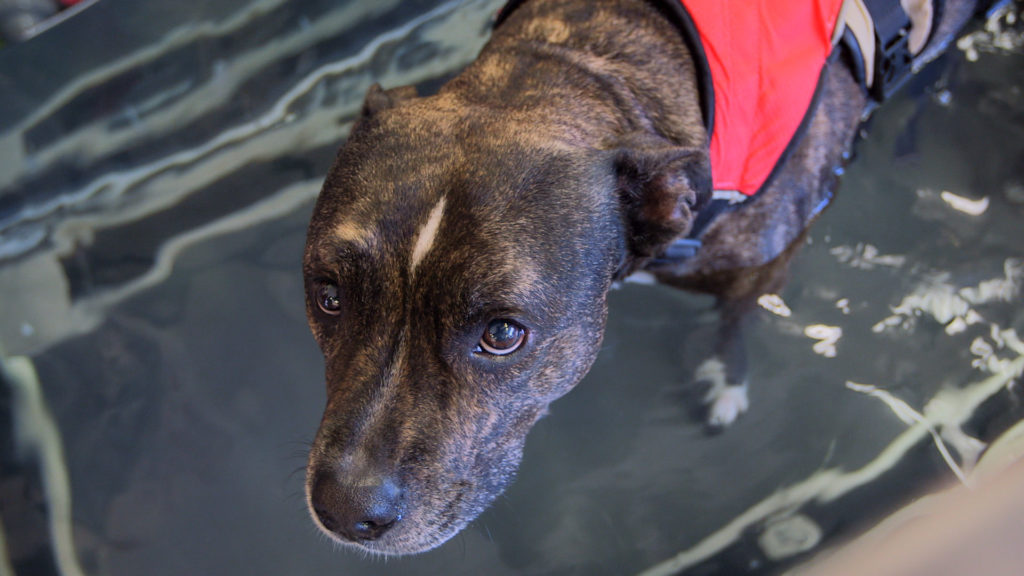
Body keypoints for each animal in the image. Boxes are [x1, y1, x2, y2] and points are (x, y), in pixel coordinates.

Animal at [299, 0, 978, 557]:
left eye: (502, 334)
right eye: (328, 296)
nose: (345, 510)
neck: (577, 68)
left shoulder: (767, 259)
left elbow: (736, 319)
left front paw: (724, 379)